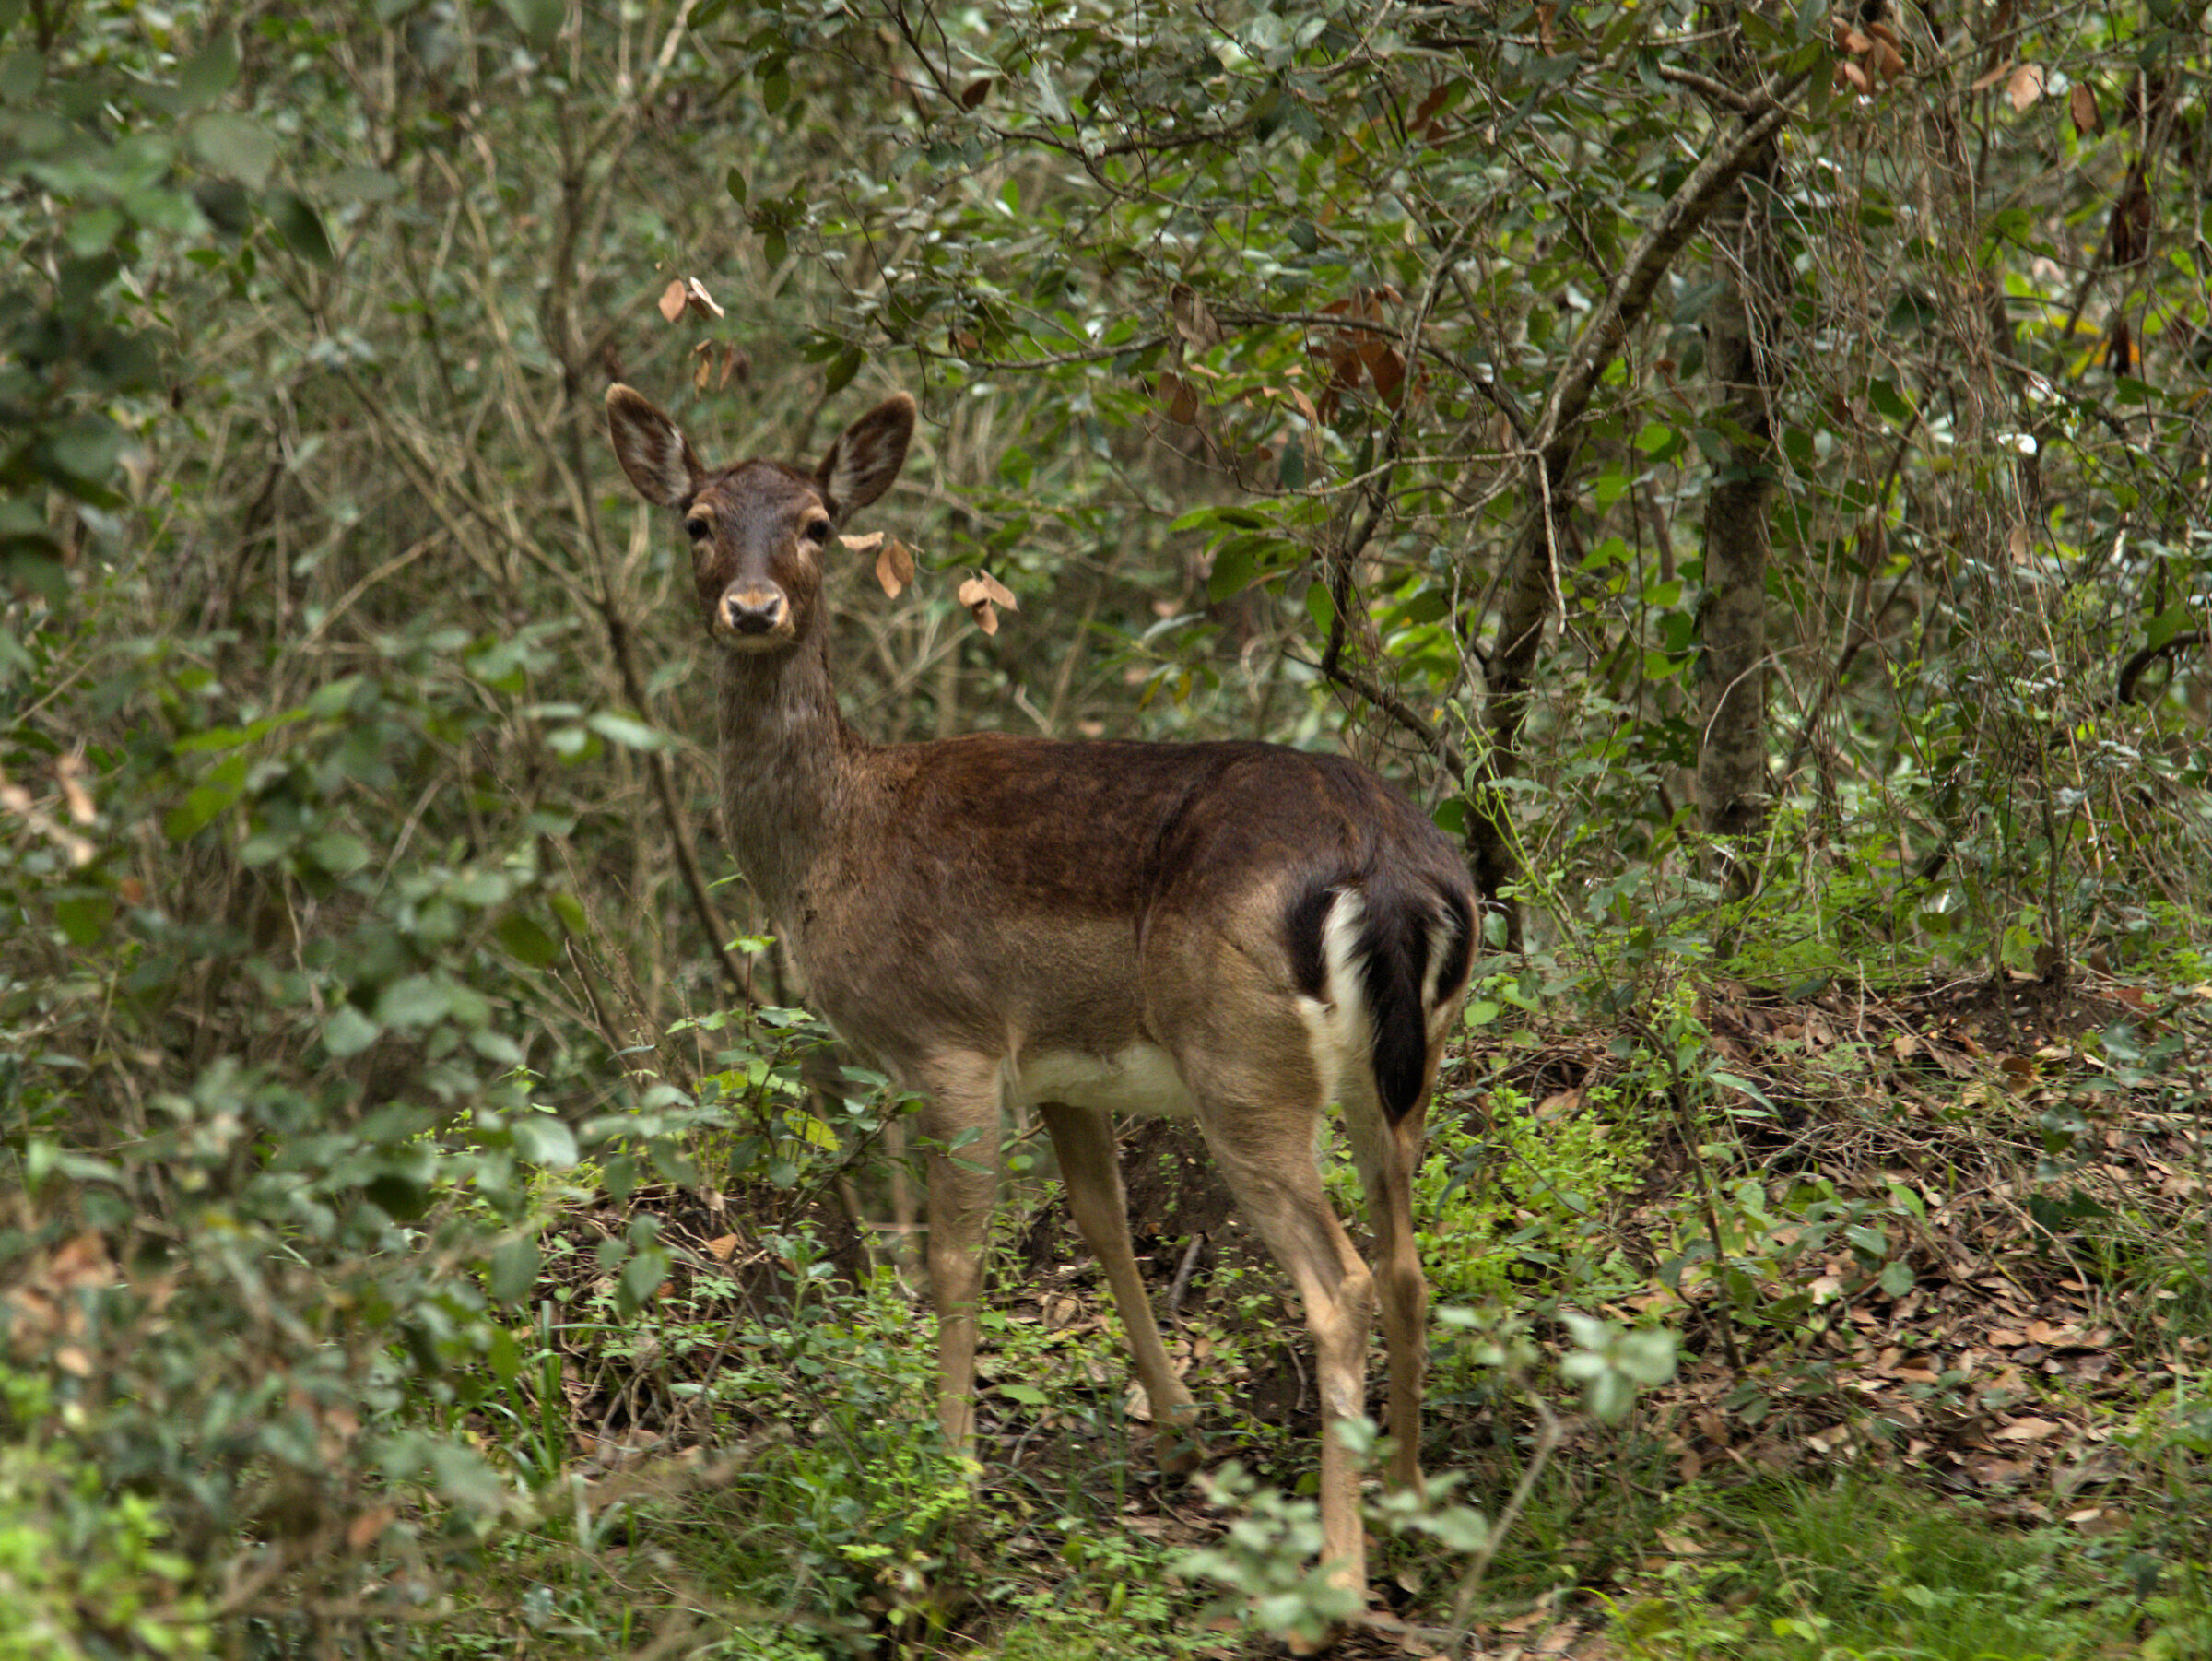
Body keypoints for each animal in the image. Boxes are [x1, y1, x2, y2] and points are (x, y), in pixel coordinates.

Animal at [605, 380, 1477, 1598]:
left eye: (819, 523)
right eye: (698, 518)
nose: (752, 605)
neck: (837, 848)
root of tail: (1389, 863)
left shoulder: (953, 1039)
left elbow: (952, 1258)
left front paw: (948, 1493)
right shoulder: (1068, 1061)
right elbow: (1101, 1221)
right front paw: (1179, 1428)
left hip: (1239, 1058)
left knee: (1340, 1281)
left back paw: (1337, 1575)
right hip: (1403, 1066)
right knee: (1403, 1261)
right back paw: (1409, 1512)